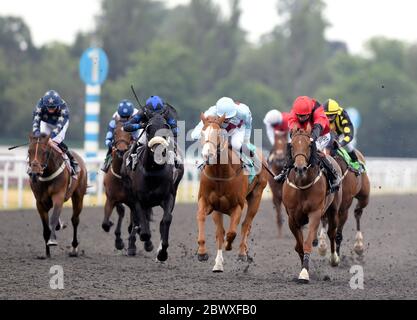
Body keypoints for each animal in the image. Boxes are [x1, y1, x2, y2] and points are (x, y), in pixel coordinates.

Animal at [122, 114, 184, 262]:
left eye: (166, 128)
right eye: (148, 129)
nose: (159, 153)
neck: (153, 171)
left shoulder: (169, 197)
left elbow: (166, 220)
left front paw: (162, 253)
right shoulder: (138, 199)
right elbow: (142, 226)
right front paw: (145, 239)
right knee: (136, 219)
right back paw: (133, 246)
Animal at [195, 114, 266, 272]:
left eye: (219, 134)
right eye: (202, 133)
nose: (207, 155)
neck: (220, 175)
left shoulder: (238, 206)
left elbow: (232, 232)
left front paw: (230, 246)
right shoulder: (207, 202)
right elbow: (203, 219)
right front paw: (202, 253)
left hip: (256, 196)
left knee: (246, 224)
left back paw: (242, 253)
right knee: (221, 232)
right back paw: (218, 264)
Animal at [282, 127, 342, 282]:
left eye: (309, 145)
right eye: (292, 145)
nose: (300, 168)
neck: (302, 185)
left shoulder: (315, 213)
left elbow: (307, 242)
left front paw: (304, 272)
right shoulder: (292, 217)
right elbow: (299, 245)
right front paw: (304, 267)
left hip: (333, 210)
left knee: (332, 233)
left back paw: (334, 258)